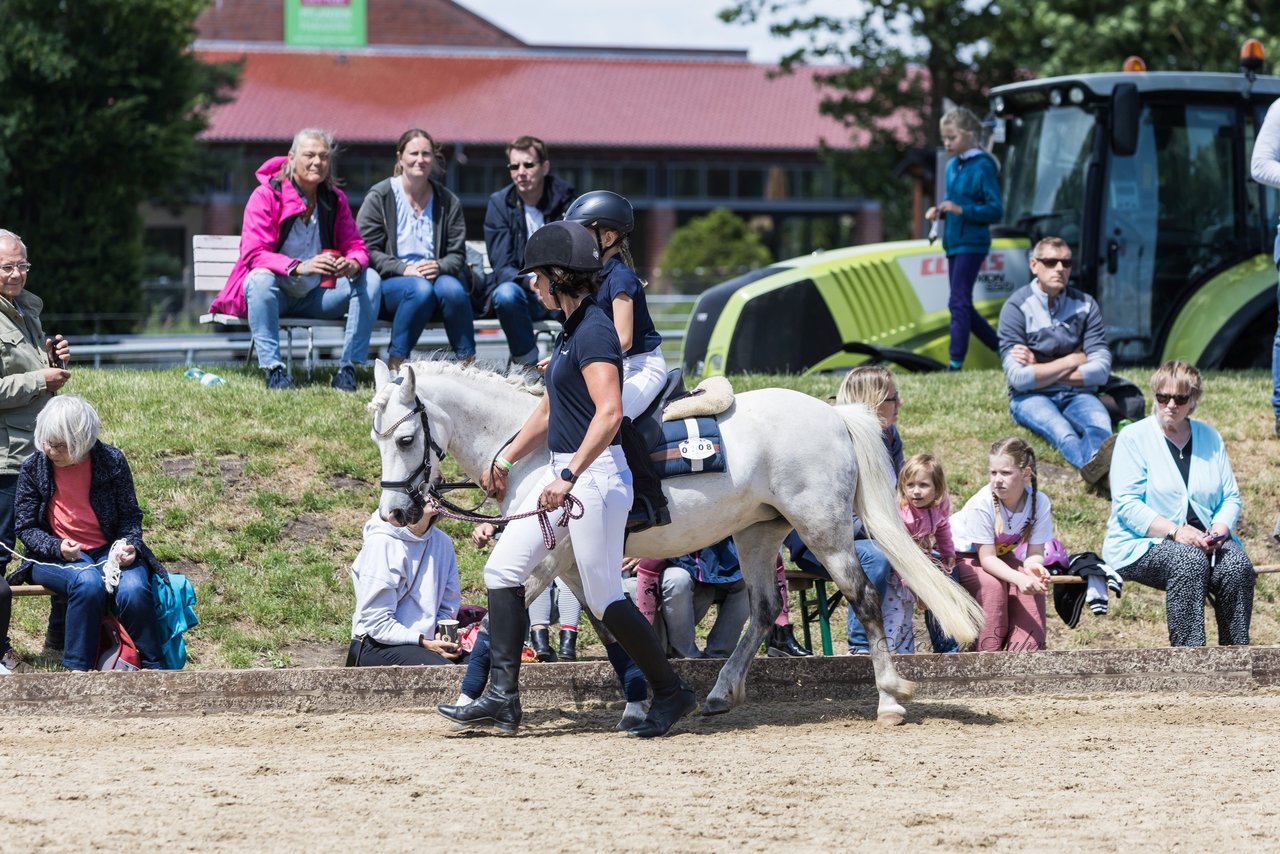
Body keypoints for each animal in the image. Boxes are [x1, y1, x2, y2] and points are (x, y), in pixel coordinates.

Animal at [371, 358, 977, 727]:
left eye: (405, 439)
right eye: (377, 438)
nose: (396, 512)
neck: (537, 450)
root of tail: (832, 412)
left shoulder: (542, 559)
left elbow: (499, 625)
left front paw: (477, 702)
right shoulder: (573, 563)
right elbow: (608, 623)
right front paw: (641, 702)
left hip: (823, 530)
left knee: (864, 598)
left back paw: (890, 697)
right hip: (758, 533)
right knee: (764, 609)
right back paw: (720, 693)